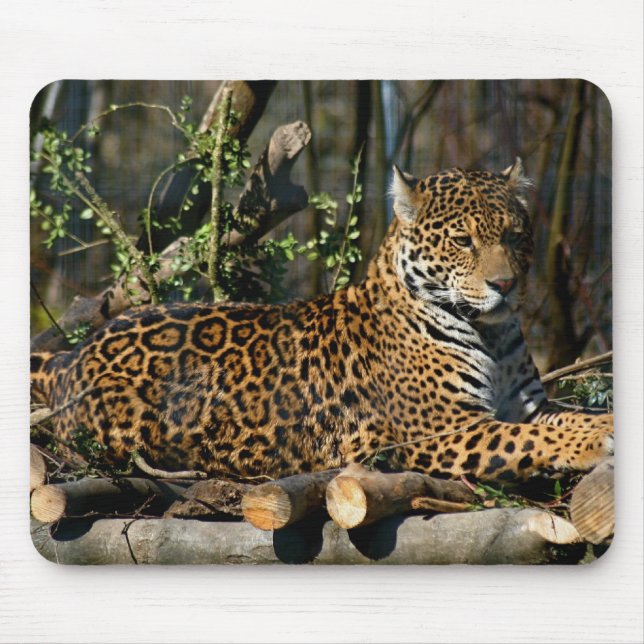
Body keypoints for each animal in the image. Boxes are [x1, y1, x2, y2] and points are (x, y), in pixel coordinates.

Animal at [30, 158, 613, 483]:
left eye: (515, 235)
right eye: (462, 240)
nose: (505, 286)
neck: (490, 332)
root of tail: (70, 357)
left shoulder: (529, 406)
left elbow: (566, 417)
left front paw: (602, 424)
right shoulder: (440, 431)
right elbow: (523, 442)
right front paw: (591, 445)